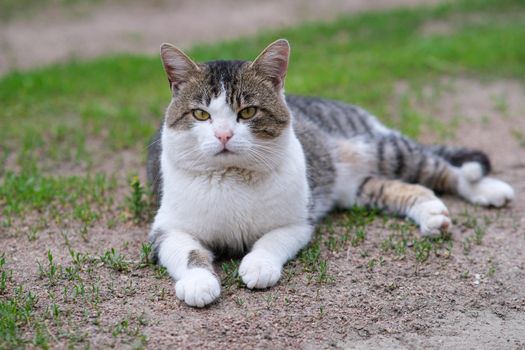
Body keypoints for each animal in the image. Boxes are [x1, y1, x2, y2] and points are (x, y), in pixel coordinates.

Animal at [146, 38, 512, 306]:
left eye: (247, 112)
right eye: (201, 114)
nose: (223, 135)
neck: (232, 177)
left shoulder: (297, 222)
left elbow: (270, 241)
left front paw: (258, 265)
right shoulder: (166, 229)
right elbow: (188, 252)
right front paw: (198, 282)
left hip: (384, 150)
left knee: (445, 171)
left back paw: (489, 191)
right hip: (356, 188)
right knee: (406, 189)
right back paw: (433, 215)